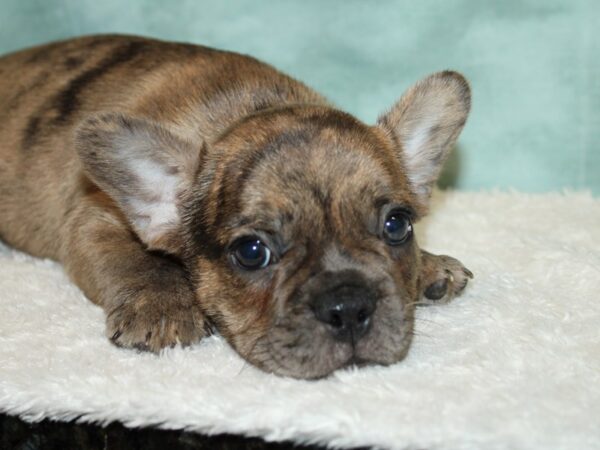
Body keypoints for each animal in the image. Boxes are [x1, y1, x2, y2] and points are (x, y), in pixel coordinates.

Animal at [1, 36, 474, 380]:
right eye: (251, 253)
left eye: (397, 226)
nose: (349, 306)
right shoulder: (92, 216)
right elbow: (134, 258)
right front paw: (162, 303)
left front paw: (430, 266)